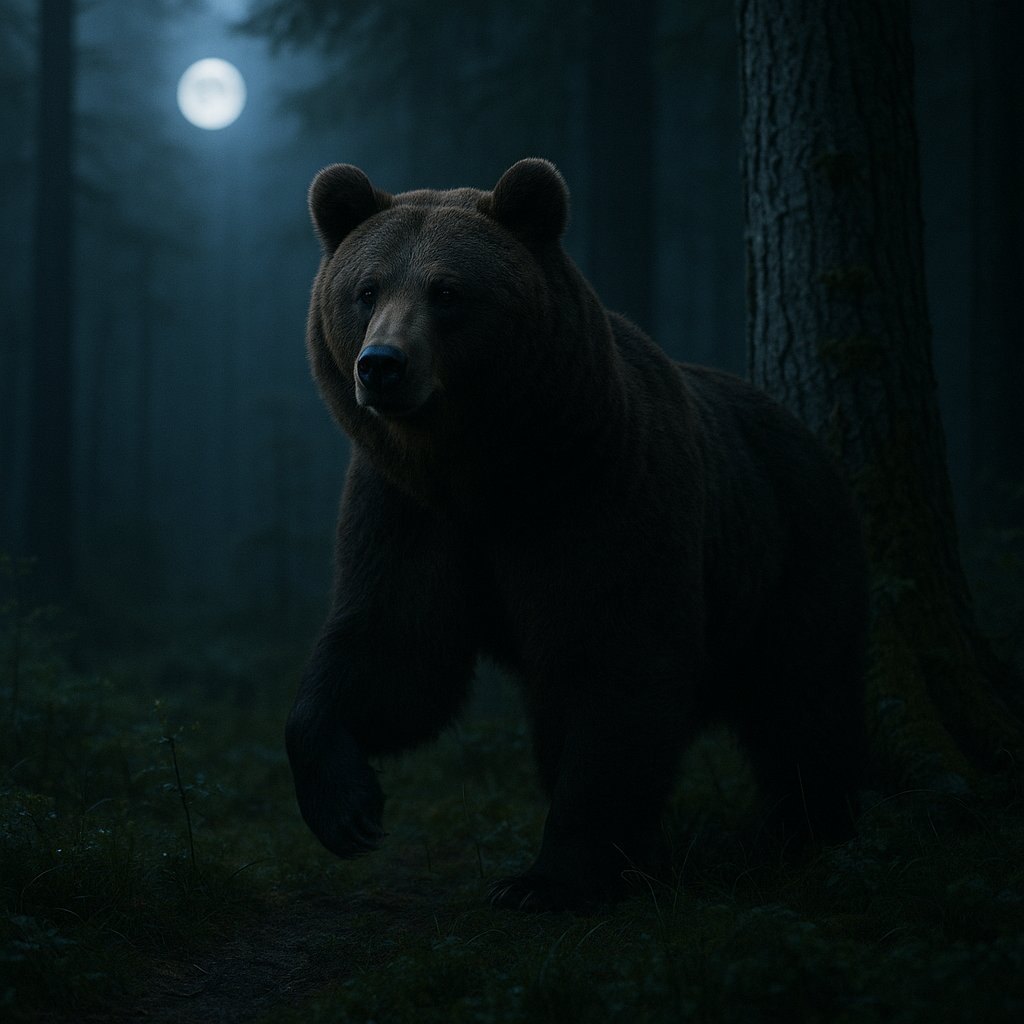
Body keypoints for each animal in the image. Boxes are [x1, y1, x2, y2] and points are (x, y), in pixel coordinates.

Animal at [287, 158, 870, 912]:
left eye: (447, 290)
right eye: (366, 289)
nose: (382, 363)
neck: (487, 471)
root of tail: (806, 432)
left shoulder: (601, 497)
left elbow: (616, 667)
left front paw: (547, 879)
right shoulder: (410, 510)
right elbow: (397, 648)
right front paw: (346, 807)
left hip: (793, 549)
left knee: (807, 701)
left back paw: (809, 831)